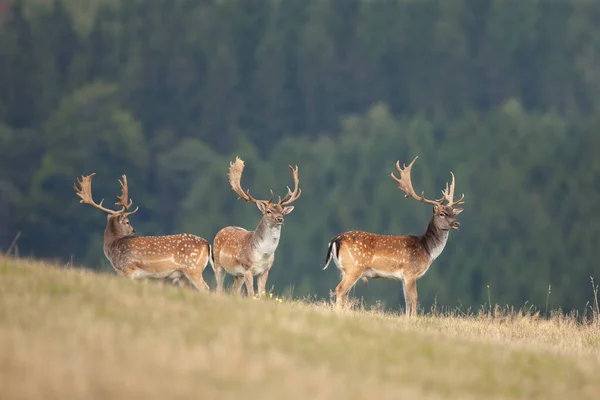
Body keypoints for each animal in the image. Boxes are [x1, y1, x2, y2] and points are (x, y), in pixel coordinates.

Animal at [74, 172, 212, 290]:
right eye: (128, 222)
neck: (114, 248)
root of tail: (207, 244)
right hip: (182, 275)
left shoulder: (128, 269)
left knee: (206, 288)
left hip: (193, 268)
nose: (134, 230)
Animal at [213, 156, 302, 296]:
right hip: (218, 264)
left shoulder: (265, 271)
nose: (280, 219)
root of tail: (220, 230)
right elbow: (251, 294)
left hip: (238, 275)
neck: (263, 255)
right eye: (268, 211)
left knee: (234, 289)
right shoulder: (247, 269)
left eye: (282, 212)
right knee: (219, 288)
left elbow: (261, 294)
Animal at [324, 156, 464, 316]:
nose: (456, 223)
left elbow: (407, 301)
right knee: (340, 290)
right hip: (354, 267)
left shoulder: (403, 277)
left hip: (343, 269)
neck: (427, 249)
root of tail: (335, 240)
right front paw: (414, 319)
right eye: (442, 213)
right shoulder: (410, 272)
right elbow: (414, 298)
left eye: (453, 213)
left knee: (343, 292)